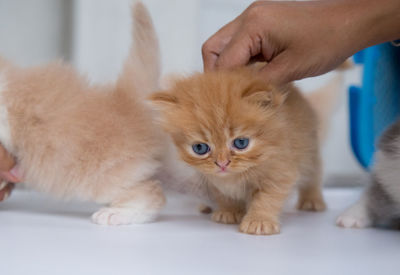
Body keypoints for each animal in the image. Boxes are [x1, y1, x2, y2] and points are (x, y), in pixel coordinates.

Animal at [152, 68, 326, 235]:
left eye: (241, 143)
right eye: (200, 148)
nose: (222, 163)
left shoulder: (280, 172)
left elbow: (267, 198)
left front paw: (259, 221)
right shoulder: (212, 180)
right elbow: (223, 195)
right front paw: (230, 211)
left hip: (309, 152)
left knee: (313, 177)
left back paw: (312, 201)